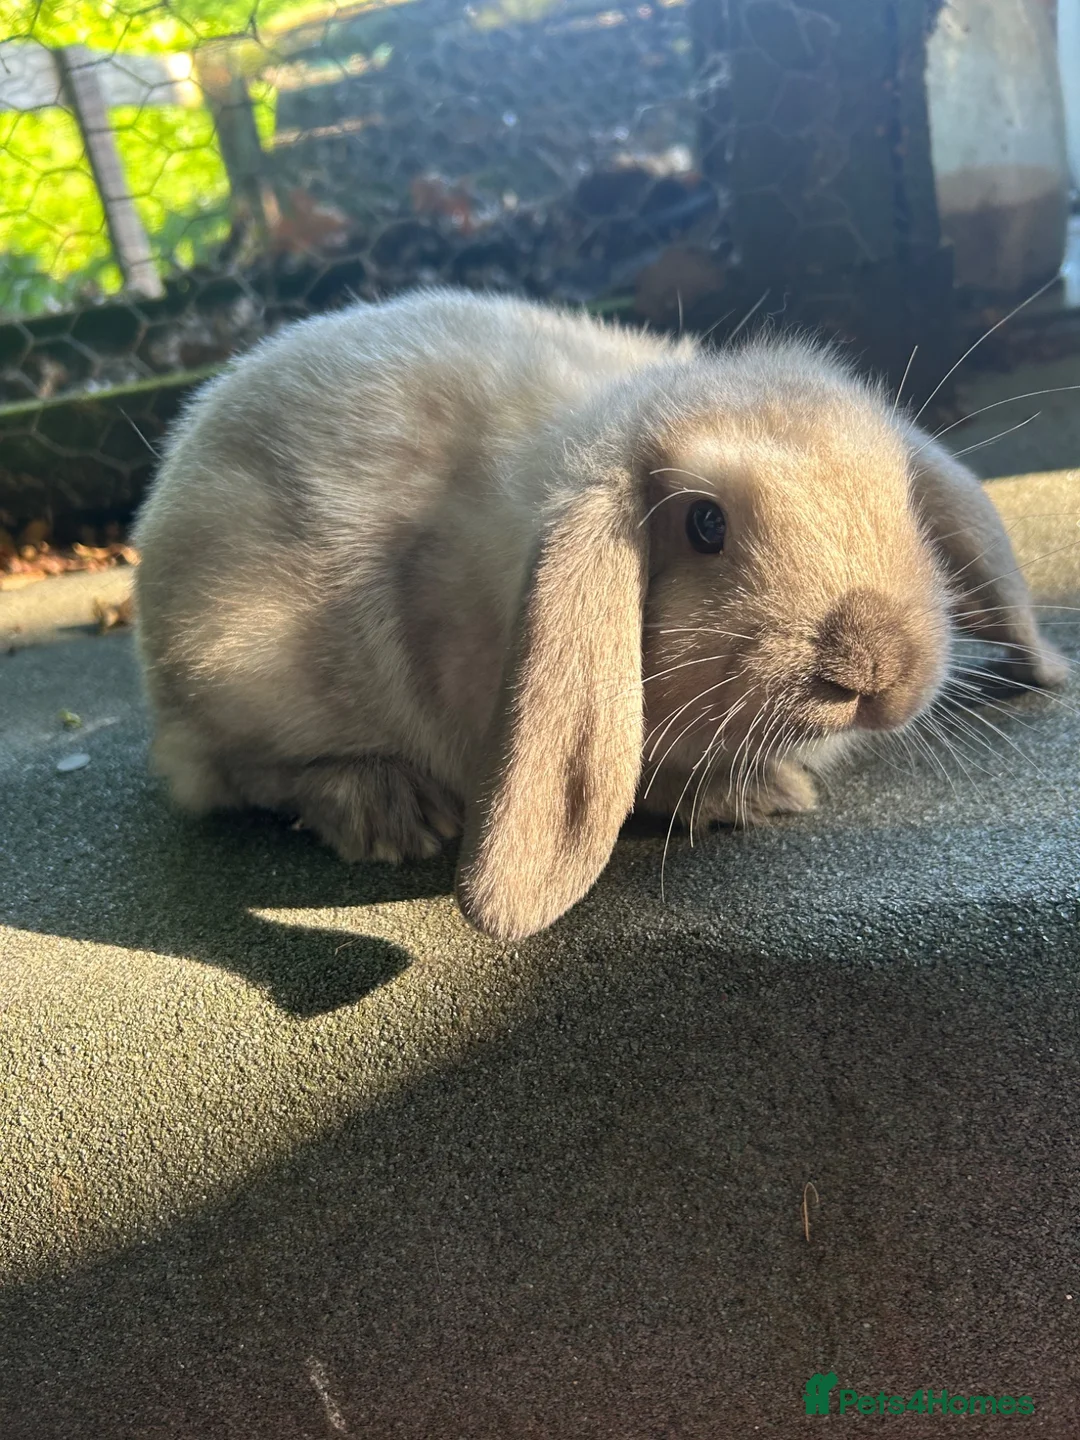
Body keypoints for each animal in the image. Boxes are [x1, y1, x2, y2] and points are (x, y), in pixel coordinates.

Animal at [132, 287, 1066, 941]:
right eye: (705, 525)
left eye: (904, 498)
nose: (874, 667)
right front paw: (759, 795)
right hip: (243, 673)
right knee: (234, 774)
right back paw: (389, 808)